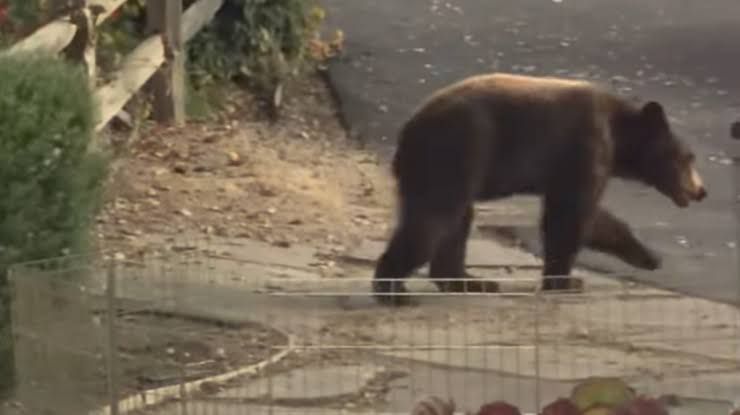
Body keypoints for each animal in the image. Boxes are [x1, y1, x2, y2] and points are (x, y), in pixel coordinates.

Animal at [373, 72, 707, 307]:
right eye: (688, 157)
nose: (701, 191)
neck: (617, 134)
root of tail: (407, 132)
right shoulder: (583, 147)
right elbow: (570, 216)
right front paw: (566, 282)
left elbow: (593, 217)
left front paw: (648, 255)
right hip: (456, 152)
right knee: (434, 219)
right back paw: (394, 291)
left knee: (456, 223)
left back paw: (470, 281)